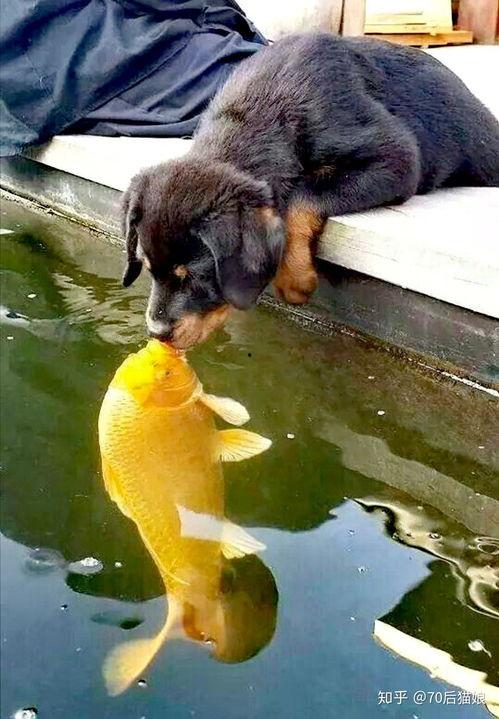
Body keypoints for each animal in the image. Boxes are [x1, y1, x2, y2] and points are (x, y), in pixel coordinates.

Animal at [121, 33, 499, 348]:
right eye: (147, 267)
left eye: (197, 277)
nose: (156, 332)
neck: (262, 114)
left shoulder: (397, 158)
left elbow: (302, 197)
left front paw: (294, 279)